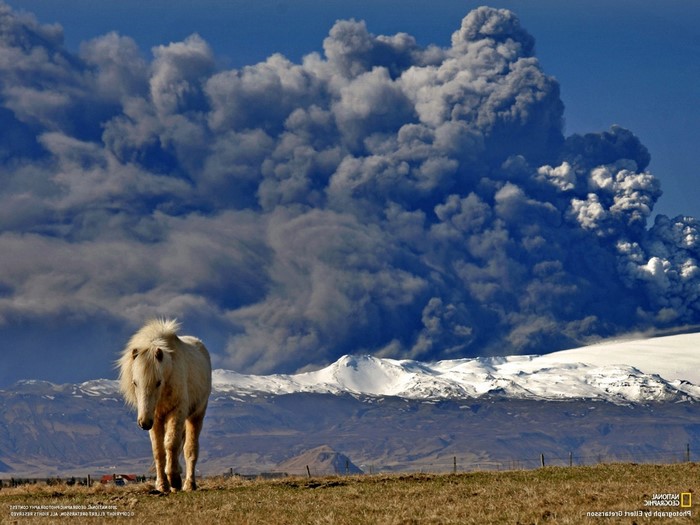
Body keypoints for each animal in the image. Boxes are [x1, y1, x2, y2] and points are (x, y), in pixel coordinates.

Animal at [118, 319, 212, 492]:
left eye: (158, 382)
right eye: (135, 382)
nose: (143, 423)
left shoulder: (177, 412)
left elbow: (171, 444)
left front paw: (174, 479)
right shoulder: (155, 418)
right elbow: (159, 450)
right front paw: (162, 485)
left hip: (196, 416)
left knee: (190, 450)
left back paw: (189, 484)